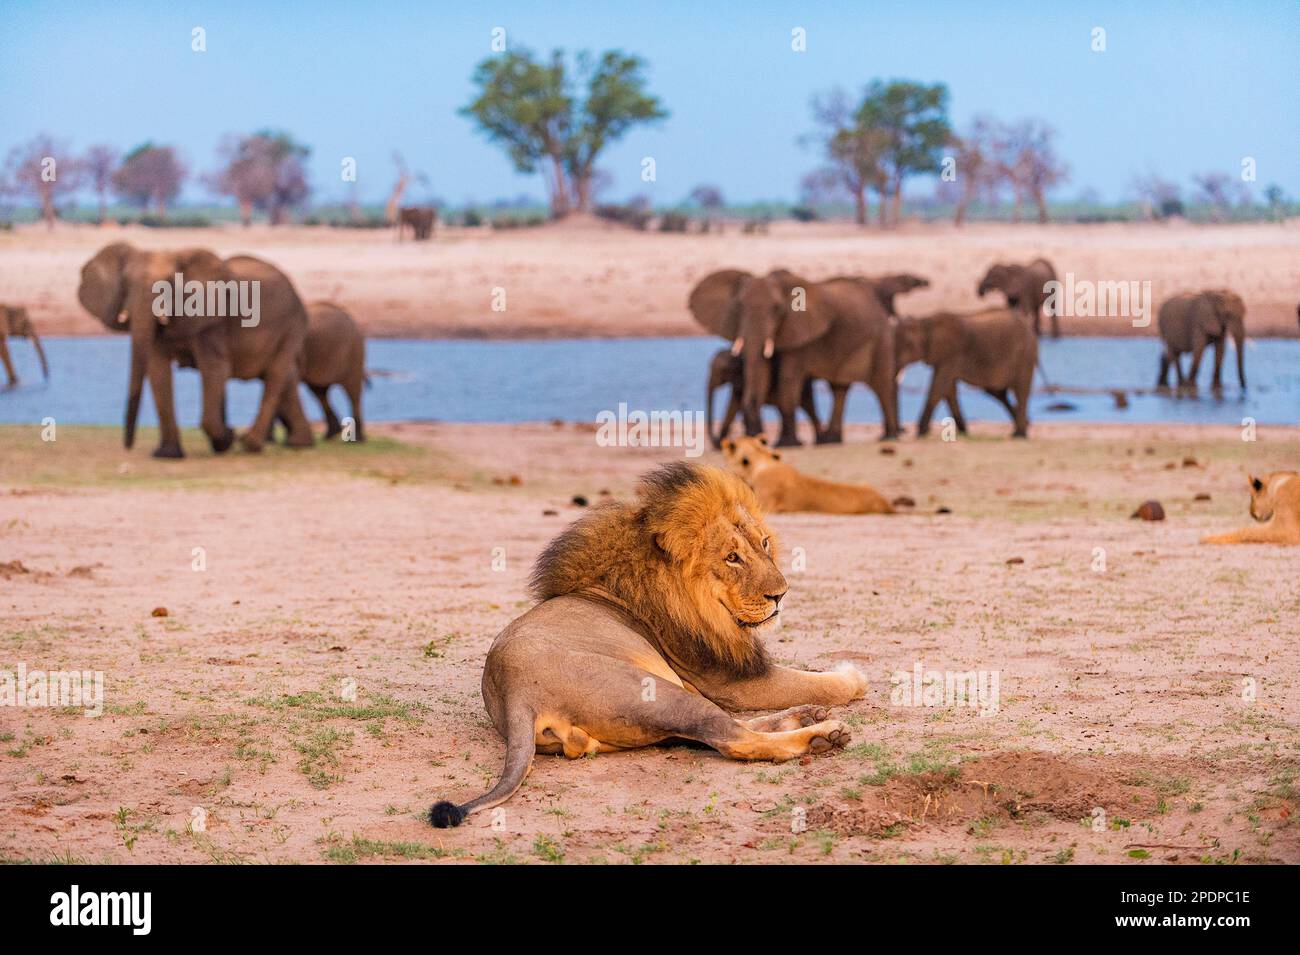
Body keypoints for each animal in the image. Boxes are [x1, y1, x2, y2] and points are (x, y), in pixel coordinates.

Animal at [76, 242, 314, 459]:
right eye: (125, 283)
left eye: (169, 284)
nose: (127, 446)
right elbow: (158, 371)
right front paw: (167, 455)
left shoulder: (211, 323)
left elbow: (214, 369)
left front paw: (226, 439)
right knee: (285, 376)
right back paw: (300, 443)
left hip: (292, 325)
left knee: (275, 374)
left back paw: (250, 444)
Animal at [431, 462, 868, 831]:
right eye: (731, 558)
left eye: (763, 543)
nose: (781, 594)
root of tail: (514, 695)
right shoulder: (732, 682)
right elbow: (820, 681)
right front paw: (852, 677)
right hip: (654, 690)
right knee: (733, 736)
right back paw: (822, 735)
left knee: (727, 727)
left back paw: (807, 717)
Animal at [894, 307, 1034, 439]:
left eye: (904, 346)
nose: (902, 430)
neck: (923, 323)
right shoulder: (946, 358)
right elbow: (949, 391)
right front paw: (964, 432)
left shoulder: (950, 355)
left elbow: (938, 387)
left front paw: (920, 432)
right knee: (997, 392)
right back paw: (1022, 427)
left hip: (1024, 357)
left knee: (1020, 392)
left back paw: (1020, 435)